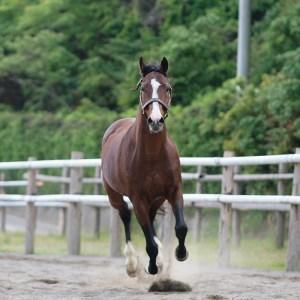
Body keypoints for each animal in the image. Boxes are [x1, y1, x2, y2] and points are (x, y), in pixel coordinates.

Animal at [102, 56, 189, 276]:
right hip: (114, 194)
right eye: (143, 89)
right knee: (125, 215)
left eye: (168, 88)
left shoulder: (173, 190)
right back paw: (132, 263)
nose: (155, 121)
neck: (152, 156)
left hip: (156, 198)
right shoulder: (138, 198)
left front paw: (180, 253)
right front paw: (151, 266)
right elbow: (149, 243)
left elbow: (181, 227)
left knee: (150, 218)